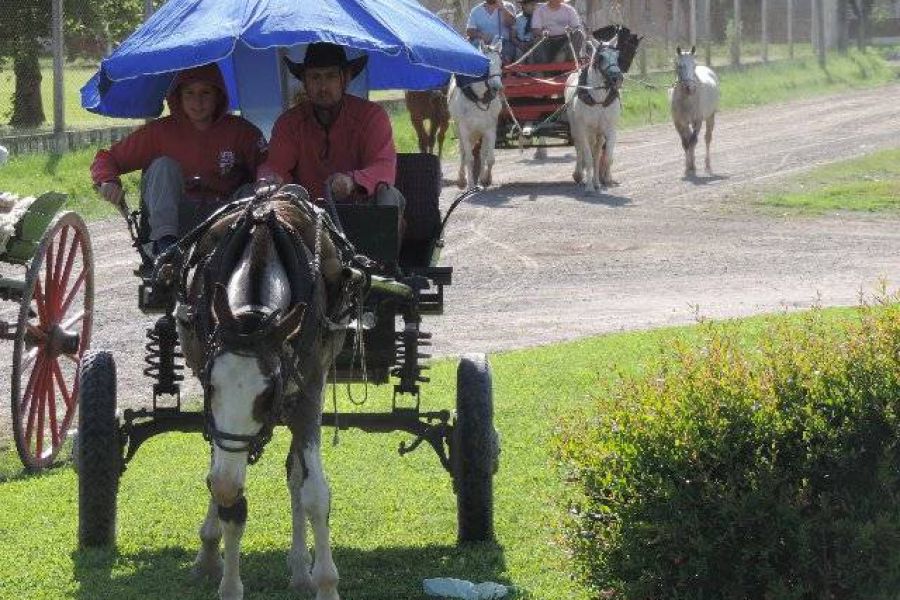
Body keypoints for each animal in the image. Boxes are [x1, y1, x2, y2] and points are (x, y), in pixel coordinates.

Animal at [172, 188, 358, 600]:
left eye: (267, 391)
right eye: (210, 384)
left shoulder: (309, 391)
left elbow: (314, 494)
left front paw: (326, 582)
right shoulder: (217, 419)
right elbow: (226, 493)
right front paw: (228, 583)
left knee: (296, 477)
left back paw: (301, 569)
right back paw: (210, 552)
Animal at [450, 39, 506, 189]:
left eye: (501, 63)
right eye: (486, 65)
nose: (497, 87)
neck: (478, 98)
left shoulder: (491, 129)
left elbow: (489, 158)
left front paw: (485, 179)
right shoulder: (464, 129)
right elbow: (469, 158)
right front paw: (469, 184)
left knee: (482, 154)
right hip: (460, 129)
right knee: (463, 152)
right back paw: (462, 179)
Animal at [568, 39, 624, 192]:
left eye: (617, 56)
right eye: (601, 57)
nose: (617, 78)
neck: (598, 98)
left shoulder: (610, 129)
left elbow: (606, 157)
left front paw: (605, 180)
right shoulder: (583, 129)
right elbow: (587, 158)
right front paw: (589, 187)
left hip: (598, 133)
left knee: (597, 151)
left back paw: (597, 181)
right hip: (576, 129)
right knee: (579, 149)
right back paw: (579, 175)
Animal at [668, 46, 724, 176]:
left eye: (694, 65)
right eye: (680, 66)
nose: (690, 88)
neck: (687, 100)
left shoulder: (697, 121)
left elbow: (693, 141)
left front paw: (691, 168)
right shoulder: (679, 123)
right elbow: (685, 143)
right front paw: (688, 168)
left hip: (710, 116)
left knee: (707, 138)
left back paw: (707, 166)